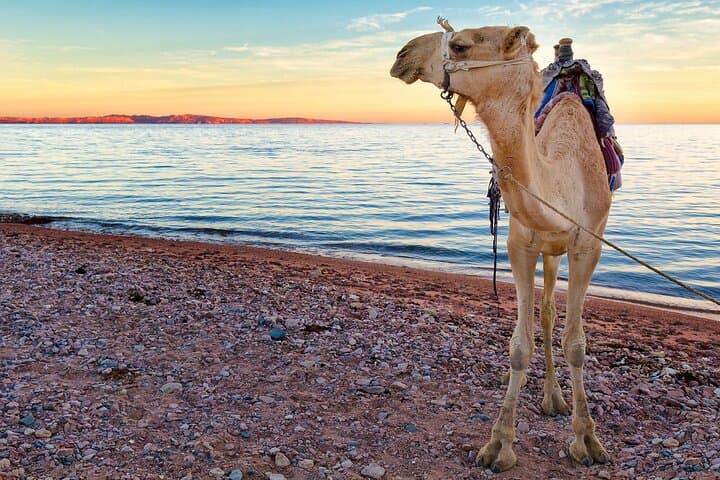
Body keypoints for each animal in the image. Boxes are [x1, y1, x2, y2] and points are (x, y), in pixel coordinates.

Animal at [391, 23, 613, 472]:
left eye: (460, 45)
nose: (402, 54)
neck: (565, 177)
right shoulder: (519, 245)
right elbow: (519, 346)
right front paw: (499, 445)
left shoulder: (588, 245)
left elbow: (577, 344)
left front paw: (587, 441)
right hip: (546, 249)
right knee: (544, 315)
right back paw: (547, 396)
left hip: (559, 250)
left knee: (550, 314)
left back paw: (556, 400)